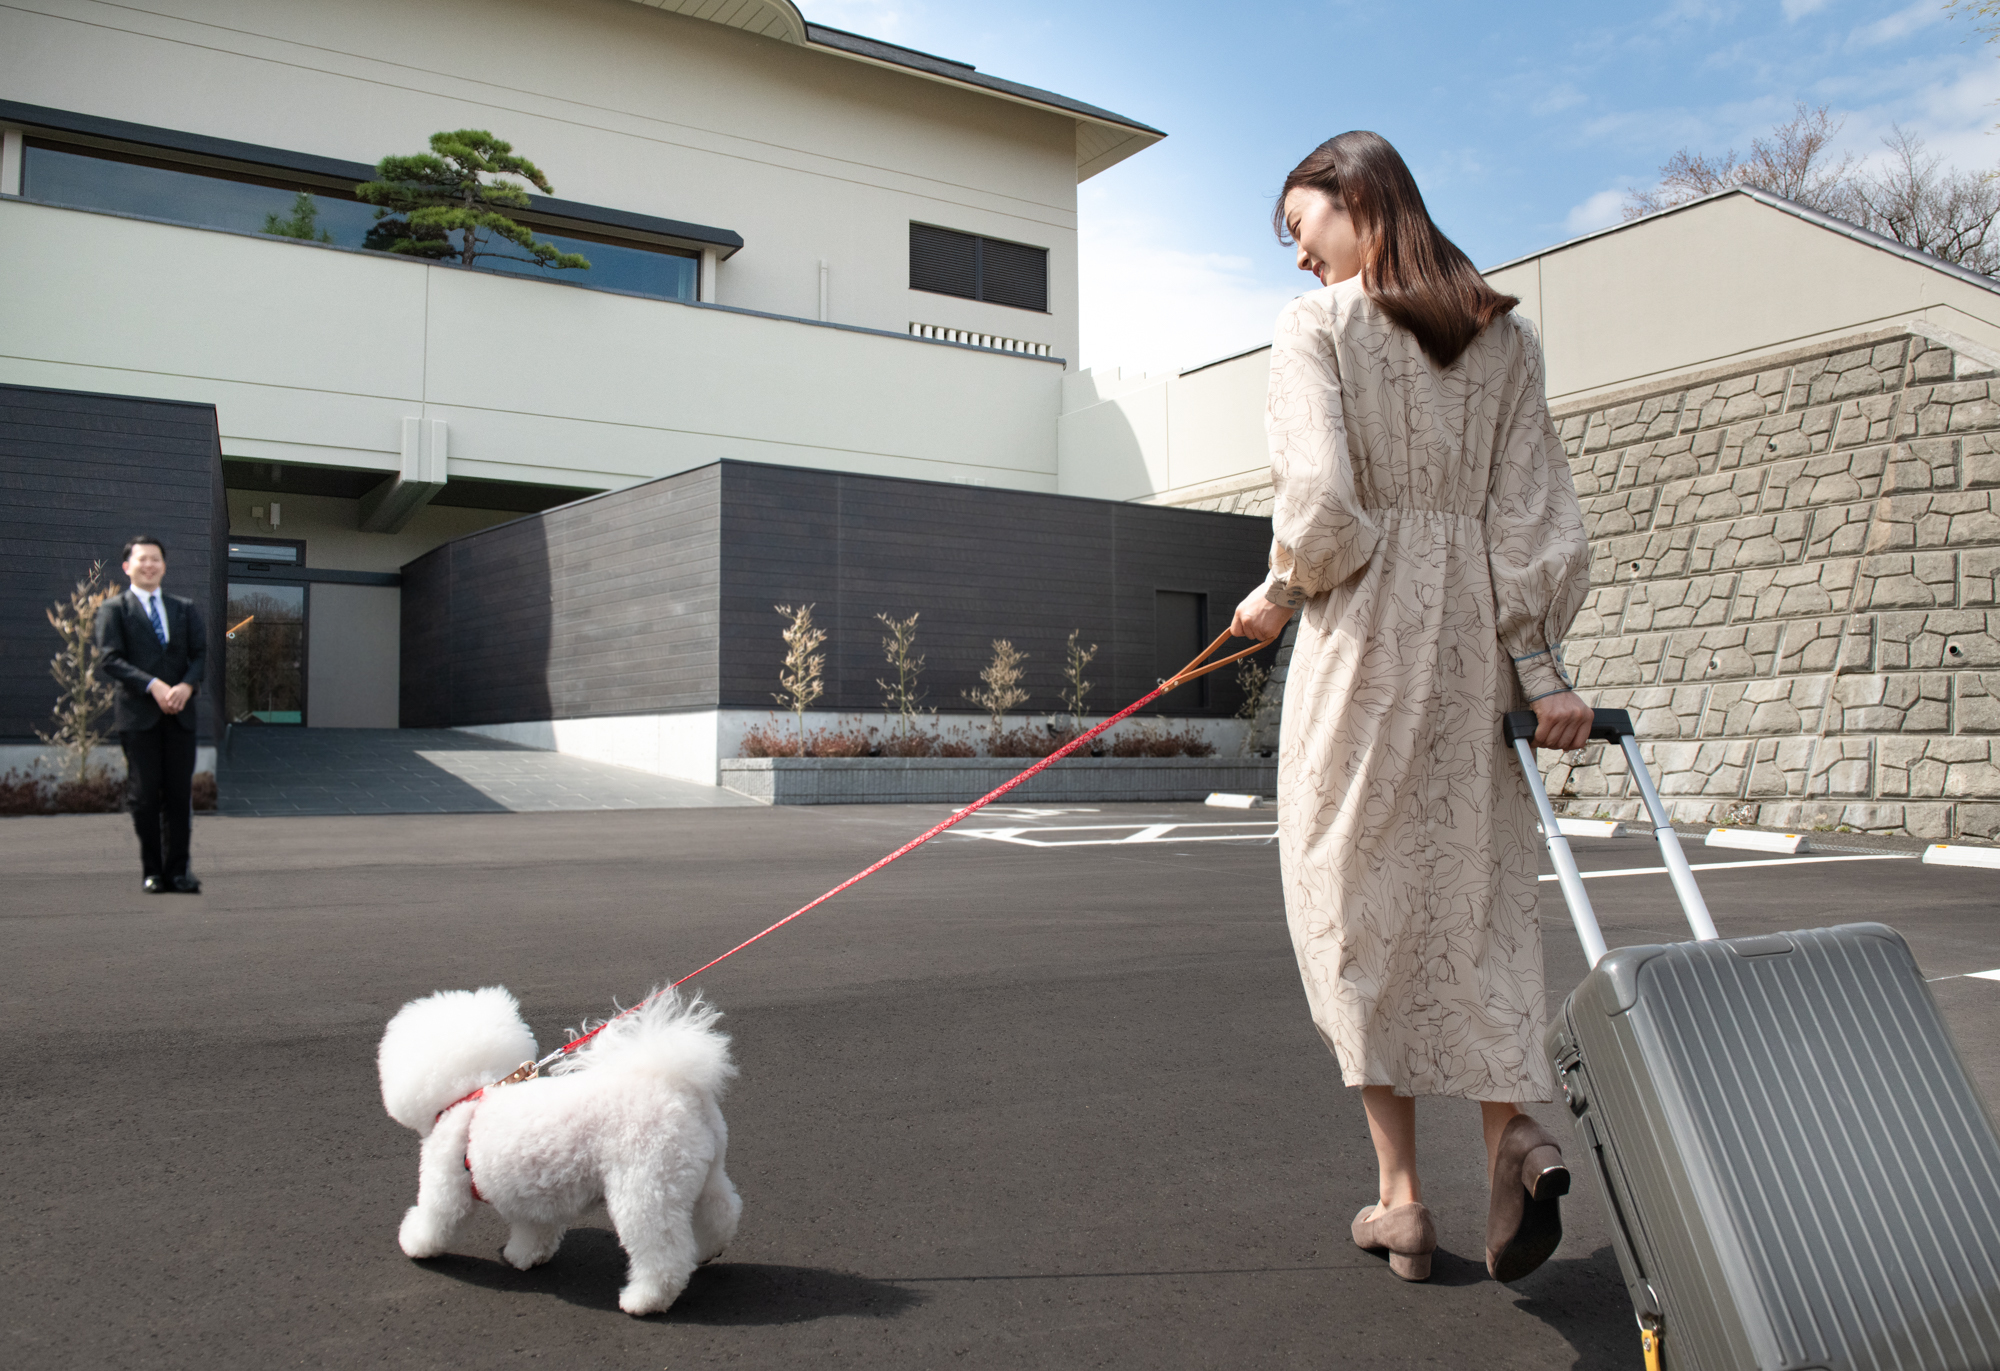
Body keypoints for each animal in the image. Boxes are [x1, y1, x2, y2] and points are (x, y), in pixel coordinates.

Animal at [376, 987, 744, 1319]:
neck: (468, 1095)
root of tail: (675, 1086)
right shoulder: (529, 1196)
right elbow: (534, 1230)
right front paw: (525, 1256)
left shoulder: (446, 1183)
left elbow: (436, 1220)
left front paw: (415, 1244)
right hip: (699, 1172)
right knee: (721, 1212)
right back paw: (707, 1250)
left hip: (644, 1186)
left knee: (663, 1255)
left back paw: (644, 1300)